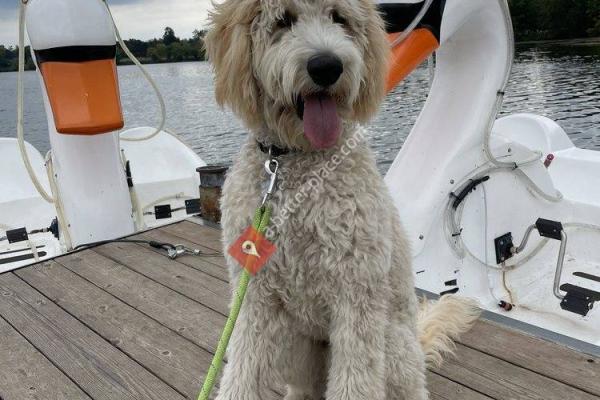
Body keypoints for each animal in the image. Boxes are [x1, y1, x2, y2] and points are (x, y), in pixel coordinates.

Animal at [204, 1, 479, 399]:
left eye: (339, 18)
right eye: (283, 20)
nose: (326, 66)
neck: (295, 163)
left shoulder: (357, 293)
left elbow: (355, 380)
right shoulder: (255, 297)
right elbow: (242, 369)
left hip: (391, 345)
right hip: (295, 345)